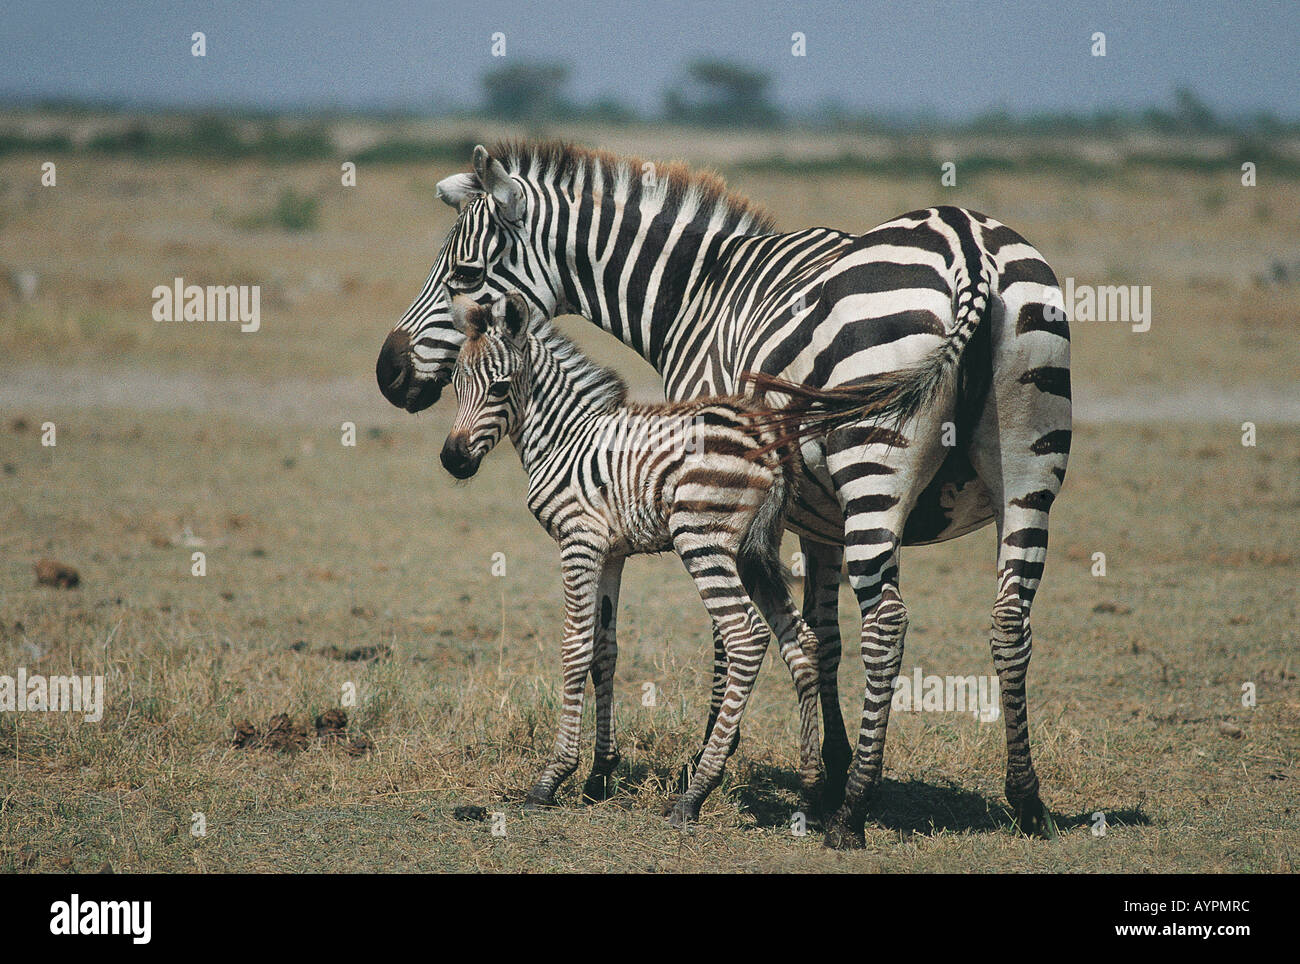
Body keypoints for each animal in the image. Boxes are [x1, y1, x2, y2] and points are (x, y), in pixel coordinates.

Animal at [440, 290, 829, 824]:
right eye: (455, 385)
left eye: (498, 389)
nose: (452, 460)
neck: (564, 436)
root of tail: (767, 438)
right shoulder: (611, 553)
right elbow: (604, 649)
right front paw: (599, 774)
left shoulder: (578, 540)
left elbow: (574, 648)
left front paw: (552, 778)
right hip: (756, 549)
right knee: (801, 640)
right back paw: (811, 788)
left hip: (702, 538)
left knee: (746, 636)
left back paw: (695, 793)